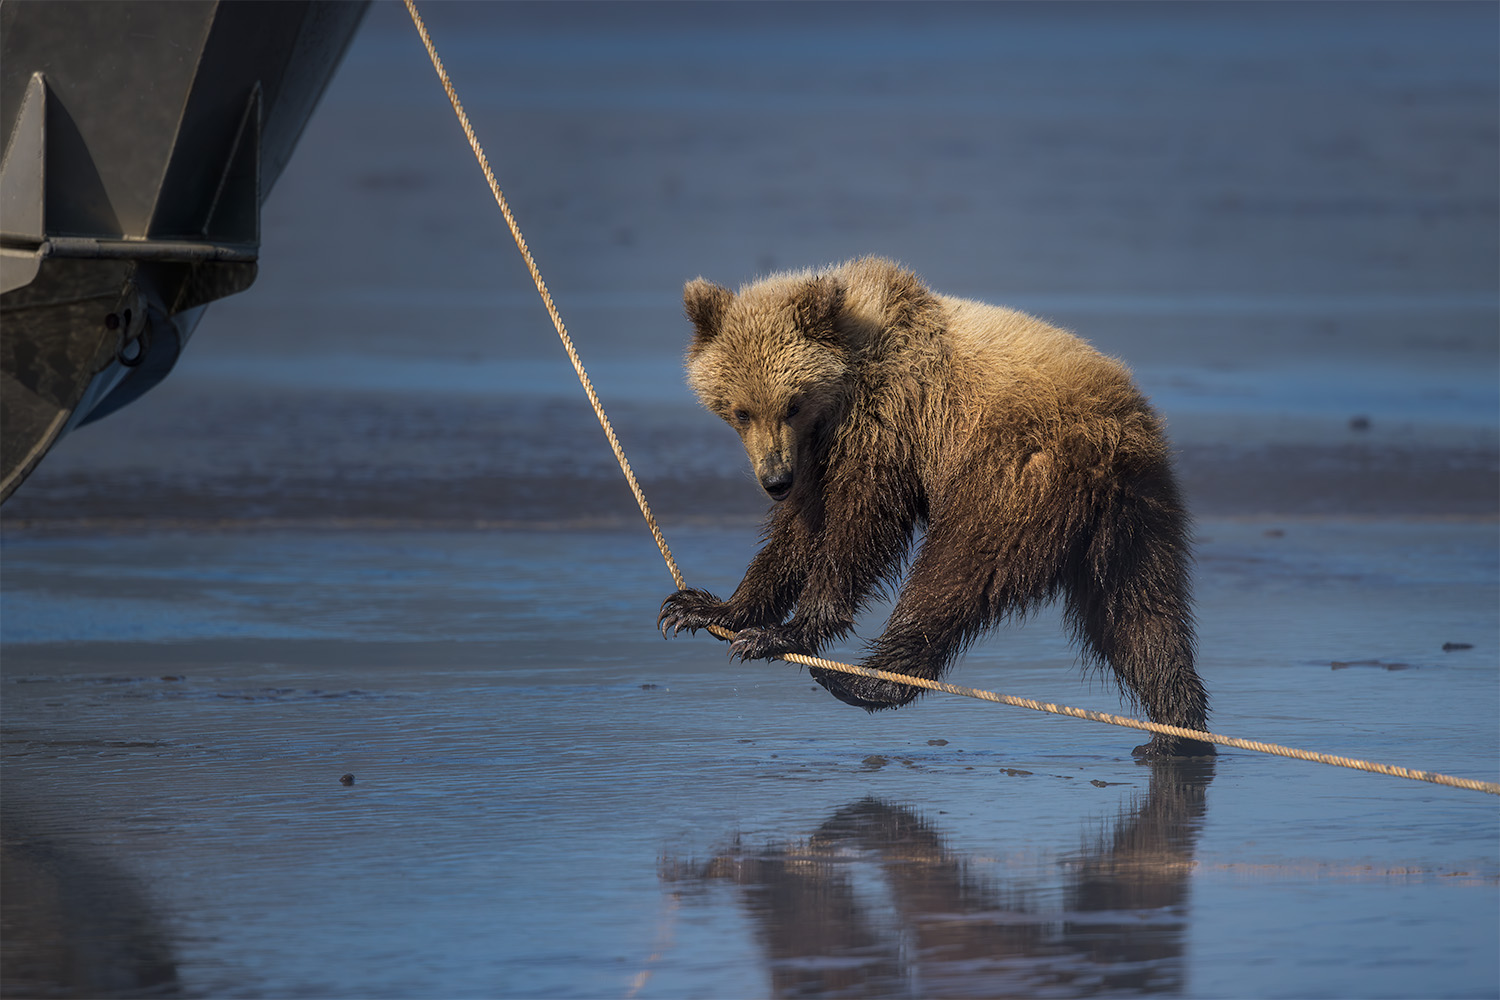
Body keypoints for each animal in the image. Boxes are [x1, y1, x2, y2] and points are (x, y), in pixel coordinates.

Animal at [658, 256, 1212, 757]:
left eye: (791, 403)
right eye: (740, 411)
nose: (774, 479)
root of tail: (1117, 443)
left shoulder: (890, 421)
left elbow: (860, 526)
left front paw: (784, 633)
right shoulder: (818, 453)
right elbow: (799, 530)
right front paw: (706, 608)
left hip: (1015, 477)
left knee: (956, 571)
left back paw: (868, 679)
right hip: (1134, 519)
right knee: (1139, 616)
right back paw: (1176, 729)